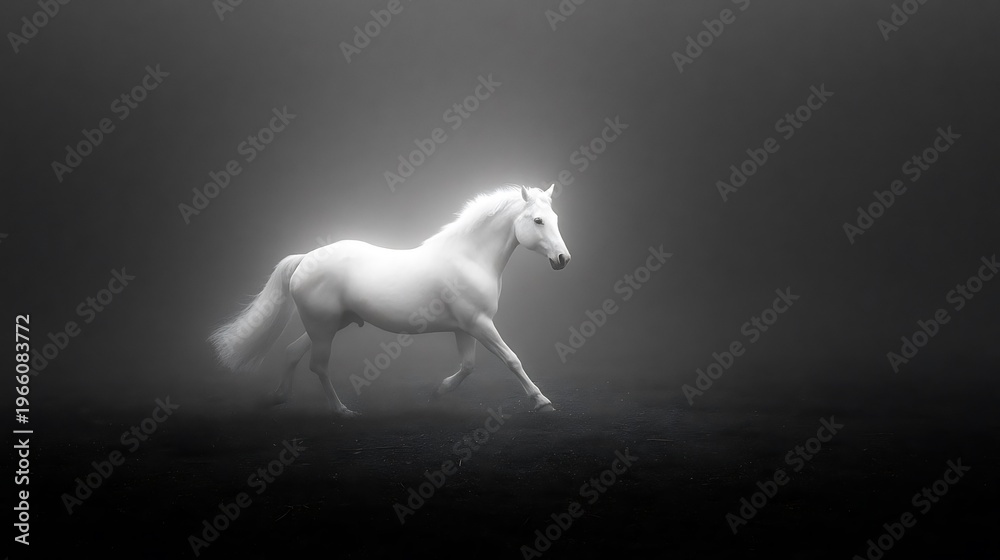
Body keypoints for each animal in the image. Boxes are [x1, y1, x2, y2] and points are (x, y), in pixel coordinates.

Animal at [209, 184, 572, 417]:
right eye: (538, 220)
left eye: (555, 219)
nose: (563, 259)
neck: (469, 258)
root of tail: (305, 259)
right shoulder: (480, 325)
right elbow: (511, 360)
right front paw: (542, 401)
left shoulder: (465, 328)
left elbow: (468, 367)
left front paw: (439, 391)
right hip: (323, 329)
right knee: (318, 366)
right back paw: (341, 411)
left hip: (327, 325)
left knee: (292, 353)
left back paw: (278, 397)